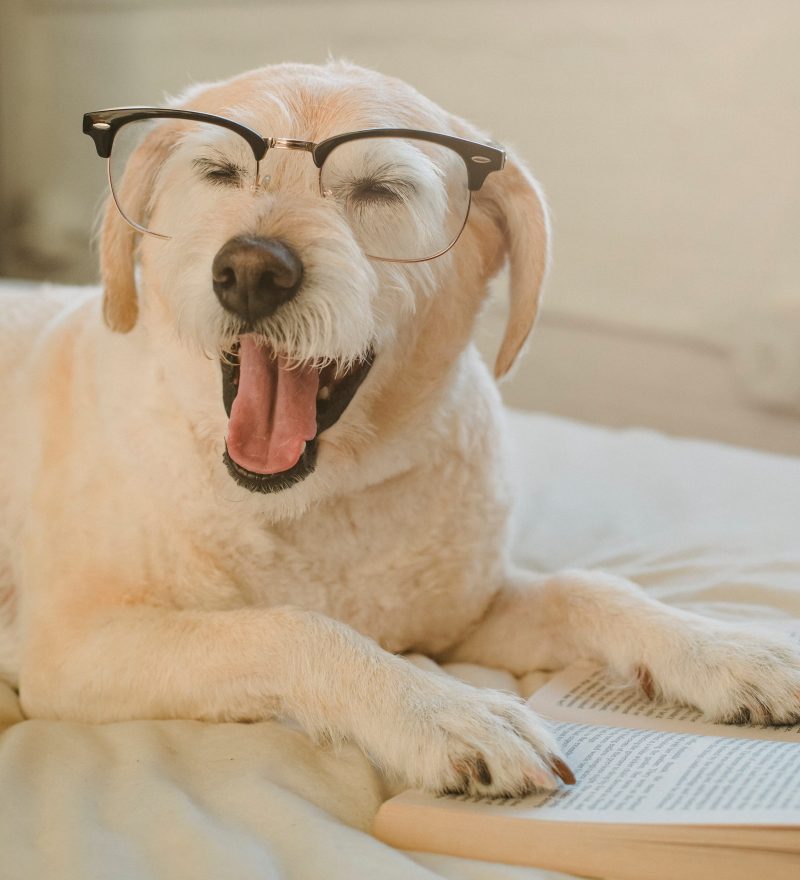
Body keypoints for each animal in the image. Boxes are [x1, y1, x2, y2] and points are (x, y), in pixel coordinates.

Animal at [1, 58, 800, 796]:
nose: (252, 271)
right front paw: (442, 709)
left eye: (381, 190)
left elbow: (588, 589)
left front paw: (727, 650)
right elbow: (291, 625)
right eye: (219, 171)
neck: (322, 501)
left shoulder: (465, 620)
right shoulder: (73, 648)